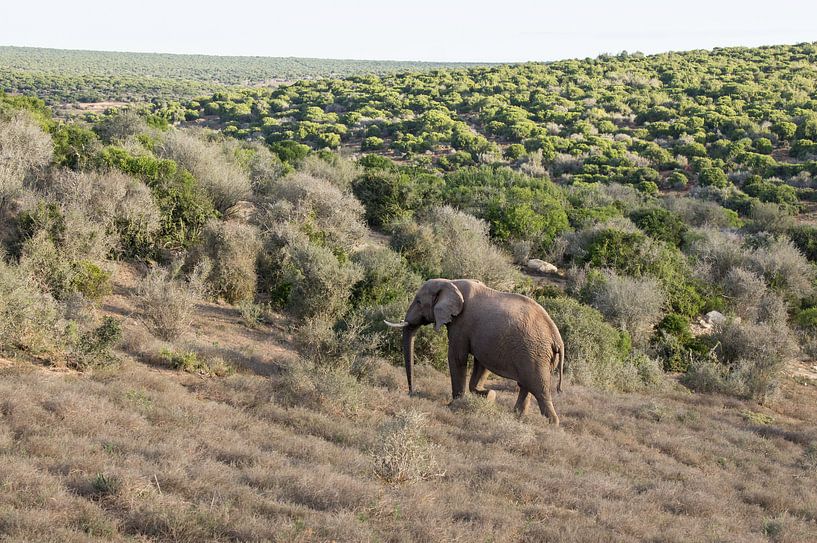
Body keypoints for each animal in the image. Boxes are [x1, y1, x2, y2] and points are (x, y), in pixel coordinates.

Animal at [386, 280, 564, 424]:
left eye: (418, 301)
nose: (411, 392)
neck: (449, 283)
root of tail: (557, 338)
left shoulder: (461, 324)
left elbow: (457, 357)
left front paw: (454, 405)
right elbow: (481, 363)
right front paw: (489, 395)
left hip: (535, 353)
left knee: (538, 388)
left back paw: (551, 424)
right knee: (526, 385)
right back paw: (517, 417)